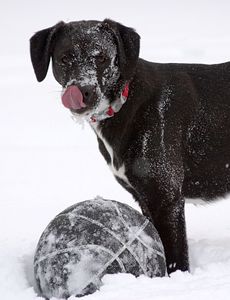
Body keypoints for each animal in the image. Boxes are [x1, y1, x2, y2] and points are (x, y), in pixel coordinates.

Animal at [29, 19, 230, 276]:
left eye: (102, 57)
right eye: (65, 58)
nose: (83, 91)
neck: (126, 100)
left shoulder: (166, 198)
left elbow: (175, 259)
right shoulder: (144, 198)